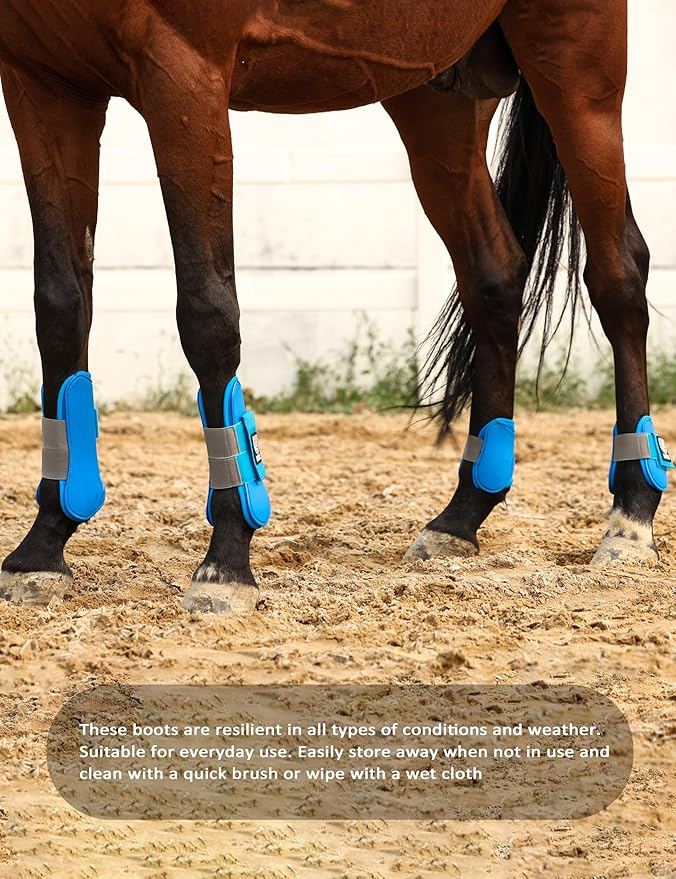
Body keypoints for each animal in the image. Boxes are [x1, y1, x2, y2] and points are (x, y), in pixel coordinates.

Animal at [0, 0, 671, 613]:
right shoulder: (43, 82)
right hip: (438, 97)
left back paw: (631, 515)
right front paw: (42, 549)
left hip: (574, 64)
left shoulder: (183, 77)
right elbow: (60, 306)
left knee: (618, 274)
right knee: (494, 279)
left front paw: (226, 561)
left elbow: (208, 313)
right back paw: (459, 518)